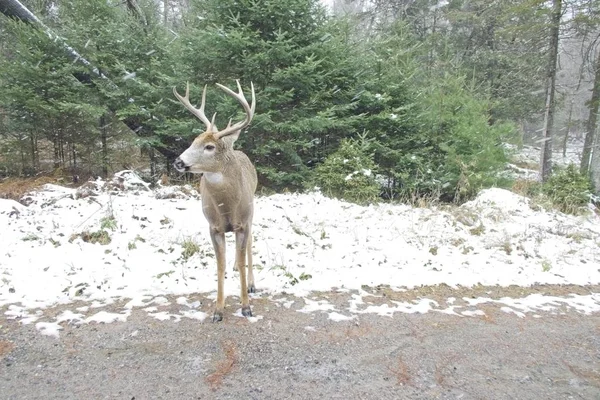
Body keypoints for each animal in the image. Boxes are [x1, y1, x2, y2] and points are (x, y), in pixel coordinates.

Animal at [171, 80, 255, 322]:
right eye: (193, 141)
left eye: (209, 147)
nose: (178, 161)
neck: (227, 207)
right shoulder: (213, 227)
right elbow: (219, 264)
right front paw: (218, 309)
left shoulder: (243, 222)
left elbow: (243, 259)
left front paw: (246, 307)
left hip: (252, 211)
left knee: (250, 246)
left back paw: (252, 284)